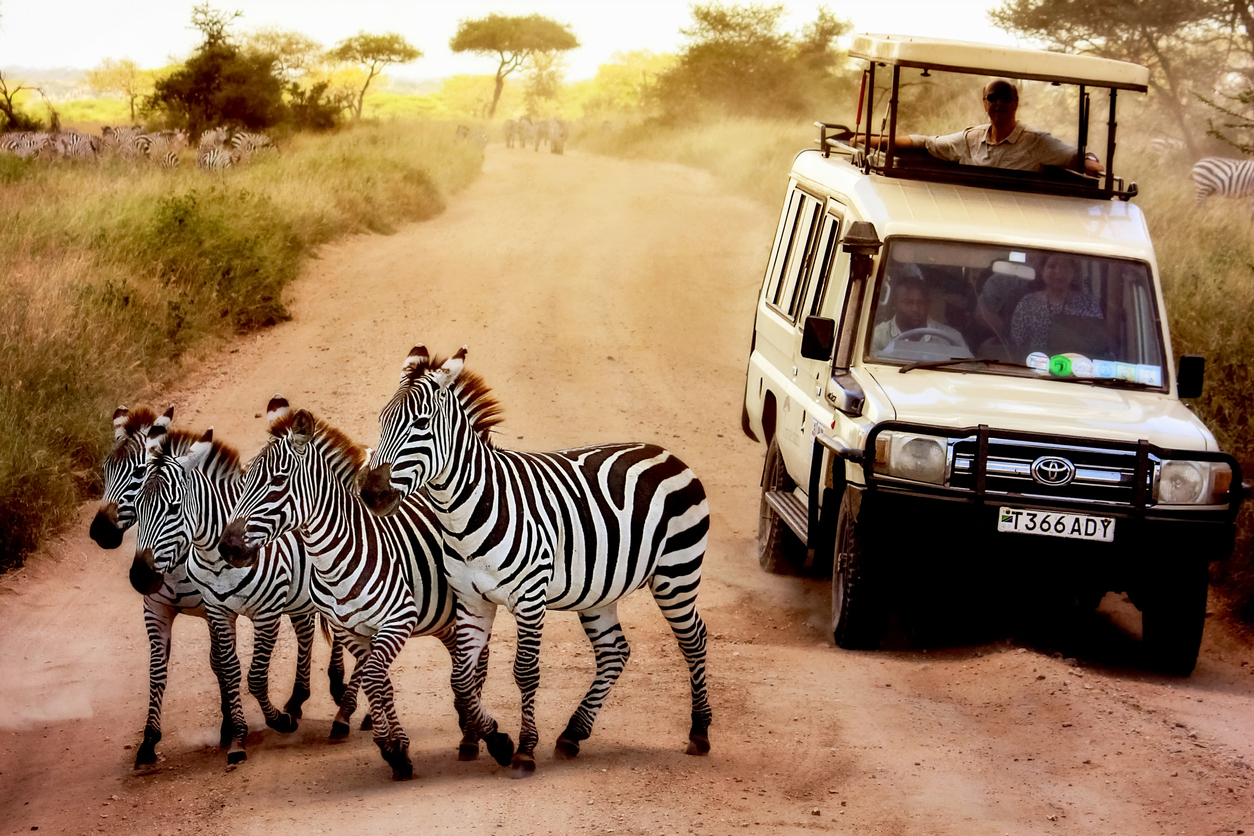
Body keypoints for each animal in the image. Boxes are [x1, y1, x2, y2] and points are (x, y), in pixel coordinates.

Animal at [90, 405, 351, 767]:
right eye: (105, 471)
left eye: (137, 473)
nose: (100, 532)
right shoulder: (166, 609)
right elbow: (175, 670)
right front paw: (150, 741)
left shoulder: (253, 610)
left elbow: (241, 671)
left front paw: (242, 726)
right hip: (299, 596)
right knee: (306, 630)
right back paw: (298, 699)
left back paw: (339, 696)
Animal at [218, 396, 494, 780]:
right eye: (244, 481)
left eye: (278, 480)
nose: (228, 548)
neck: (336, 557)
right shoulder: (350, 630)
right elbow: (380, 683)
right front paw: (397, 749)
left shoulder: (397, 621)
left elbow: (375, 677)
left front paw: (391, 747)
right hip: (441, 616)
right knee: (460, 656)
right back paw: (467, 721)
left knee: (477, 659)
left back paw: (471, 735)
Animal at [360, 346, 713, 778]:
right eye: (382, 421)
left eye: (421, 424)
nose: (371, 493)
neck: (467, 511)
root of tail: (667, 454)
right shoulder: (472, 601)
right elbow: (461, 679)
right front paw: (497, 739)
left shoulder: (530, 597)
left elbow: (525, 672)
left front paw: (524, 749)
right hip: (600, 591)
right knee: (614, 650)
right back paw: (573, 734)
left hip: (676, 574)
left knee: (694, 640)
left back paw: (700, 732)